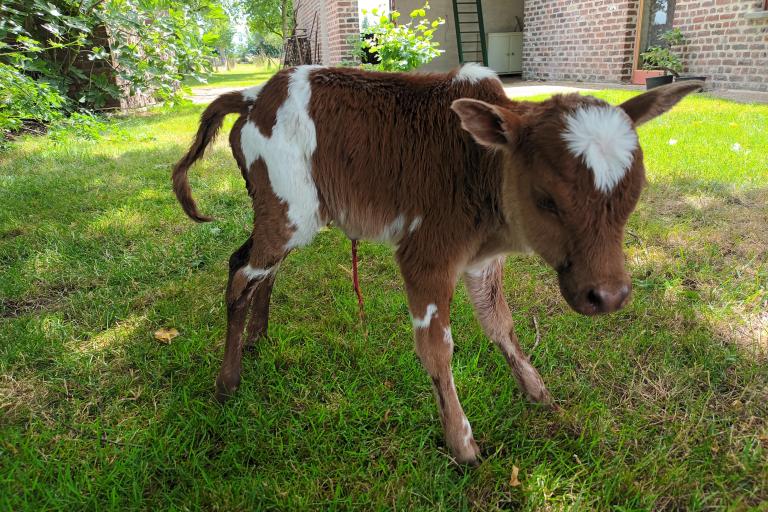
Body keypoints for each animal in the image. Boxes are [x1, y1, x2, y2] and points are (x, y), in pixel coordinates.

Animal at [174, 64, 704, 464]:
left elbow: (499, 324)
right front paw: (462, 442)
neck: (481, 164)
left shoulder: (482, 262)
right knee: (241, 276)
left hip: (285, 218)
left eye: (633, 193)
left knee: (251, 267)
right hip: (289, 216)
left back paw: (258, 339)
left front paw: (536, 391)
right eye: (547, 200)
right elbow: (437, 349)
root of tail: (255, 95)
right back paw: (227, 383)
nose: (608, 296)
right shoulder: (426, 258)